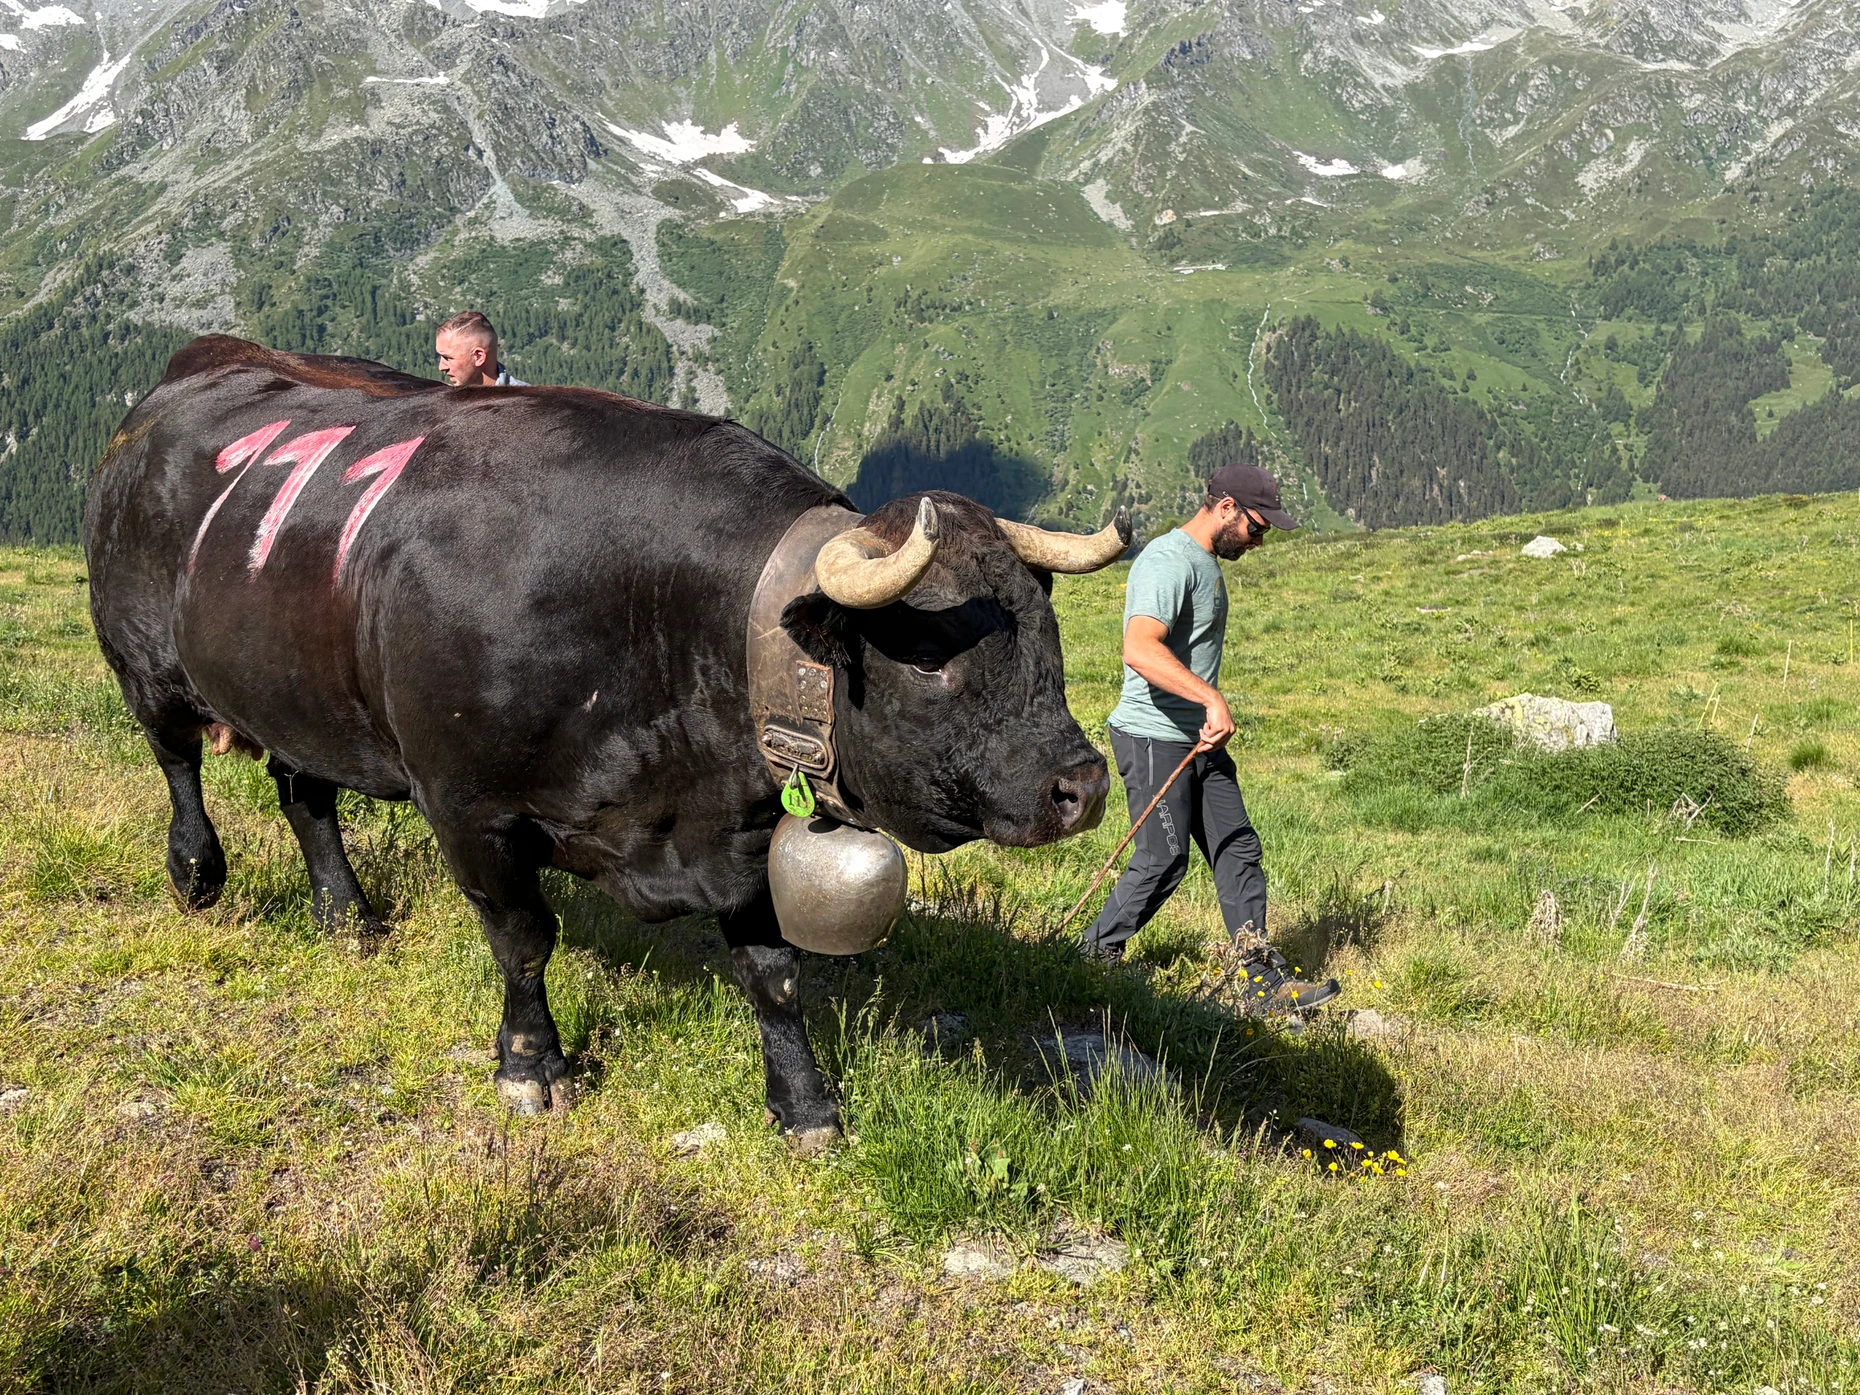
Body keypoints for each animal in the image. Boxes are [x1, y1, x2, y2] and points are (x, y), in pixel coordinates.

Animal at [83, 336, 1128, 1151]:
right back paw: (197, 873)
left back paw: (348, 916)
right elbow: (523, 940)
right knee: (180, 766)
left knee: (307, 797)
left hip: (298, 694)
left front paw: (804, 1106)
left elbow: (775, 975)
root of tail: (202, 363)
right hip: (144, 665)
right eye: (934, 659)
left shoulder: (741, 838)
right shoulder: (468, 805)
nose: (1081, 784)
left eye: (1047, 629)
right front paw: (530, 1064)